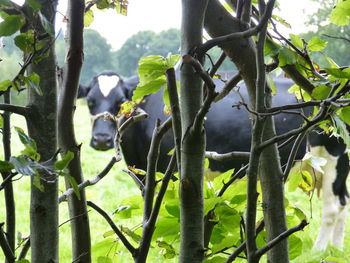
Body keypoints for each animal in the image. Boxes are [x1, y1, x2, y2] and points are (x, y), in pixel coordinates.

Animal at [78, 70, 350, 252]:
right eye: (90, 102)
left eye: (120, 102)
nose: (101, 139)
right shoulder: (144, 172)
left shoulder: (172, 169)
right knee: (343, 204)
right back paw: (335, 251)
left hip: (335, 158)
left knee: (332, 207)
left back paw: (320, 251)